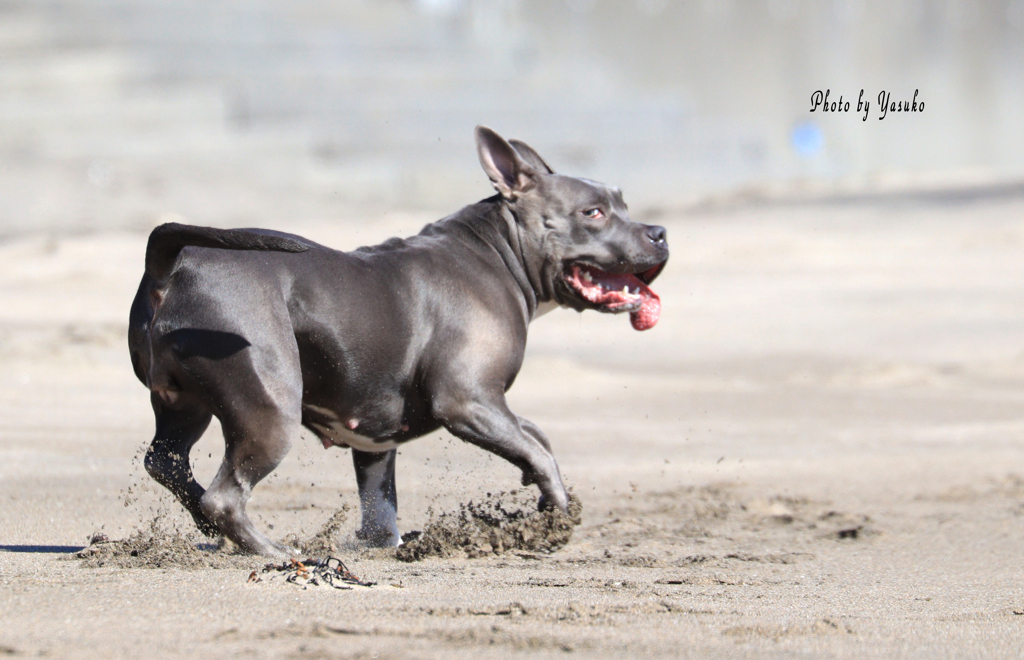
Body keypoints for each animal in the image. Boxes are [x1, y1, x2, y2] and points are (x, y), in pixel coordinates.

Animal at [128, 124, 667, 556]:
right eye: (593, 212)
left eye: (623, 203)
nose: (660, 232)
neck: (498, 252)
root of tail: (172, 266)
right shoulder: (467, 401)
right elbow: (539, 452)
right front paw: (555, 511)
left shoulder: (380, 439)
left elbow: (524, 440)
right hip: (270, 411)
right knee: (226, 496)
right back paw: (273, 552)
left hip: (183, 403)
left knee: (166, 463)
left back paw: (208, 526)